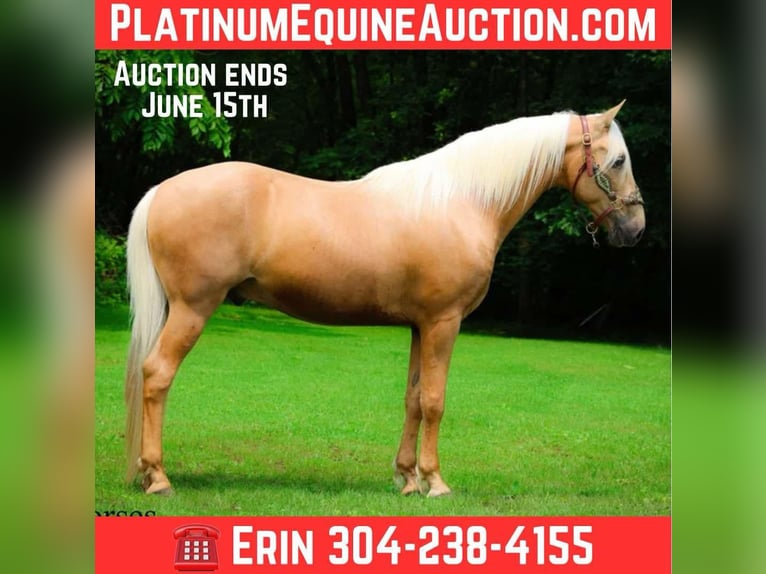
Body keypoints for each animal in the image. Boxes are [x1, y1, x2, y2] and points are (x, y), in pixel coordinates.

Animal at [124, 101, 645, 496]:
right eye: (618, 161)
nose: (636, 229)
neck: (463, 201)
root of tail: (161, 190)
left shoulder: (420, 325)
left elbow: (413, 399)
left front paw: (408, 479)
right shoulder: (444, 323)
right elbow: (435, 400)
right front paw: (436, 483)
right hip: (193, 309)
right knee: (158, 375)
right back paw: (158, 477)